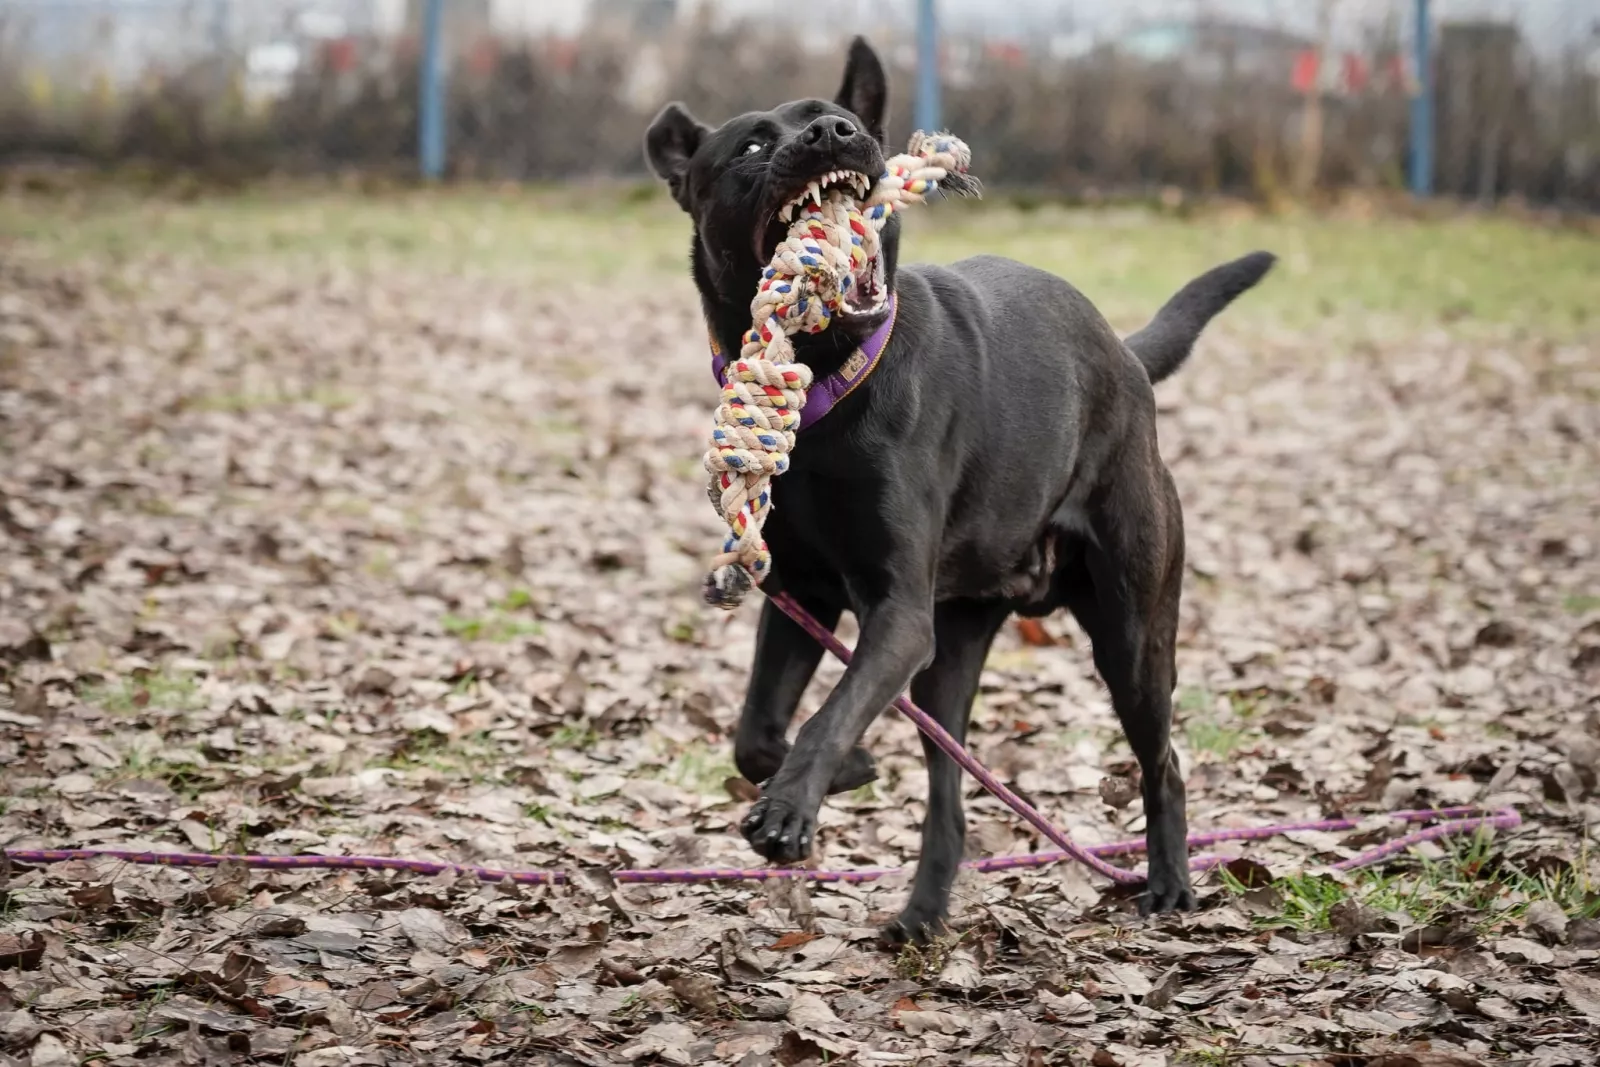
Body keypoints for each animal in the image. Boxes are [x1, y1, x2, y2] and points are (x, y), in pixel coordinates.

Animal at [645, 36, 1275, 943]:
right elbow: (758, 731)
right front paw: (846, 767)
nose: (834, 135)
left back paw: (1169, 883)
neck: (828, 383)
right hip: (951, 655)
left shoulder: (898, 615)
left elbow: (828, 712)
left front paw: (793, 807)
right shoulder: (803, 596)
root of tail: (1125, 356)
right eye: (755, 145)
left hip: (1131, 634)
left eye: (837, 120)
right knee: (950, 795)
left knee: (1164, 760)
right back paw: (922, 911)